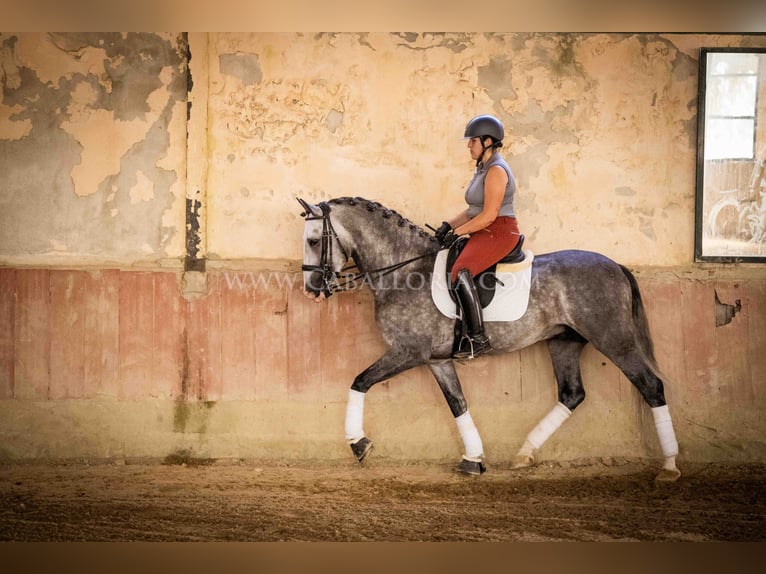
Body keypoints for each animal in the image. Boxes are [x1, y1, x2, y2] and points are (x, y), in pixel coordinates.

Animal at [298, 196, 684, 484]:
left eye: (314, 240)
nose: (311, 290)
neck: (404, 269)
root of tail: (616, 264)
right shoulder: (438, 360)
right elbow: (458, 404)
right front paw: (473, 458)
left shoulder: (408, 352)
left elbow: (360, 381)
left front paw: (358, 443)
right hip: (564, 341)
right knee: (572, 394)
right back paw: (524, 453)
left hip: (614, 340)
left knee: (650, 386)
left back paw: (669, 466)